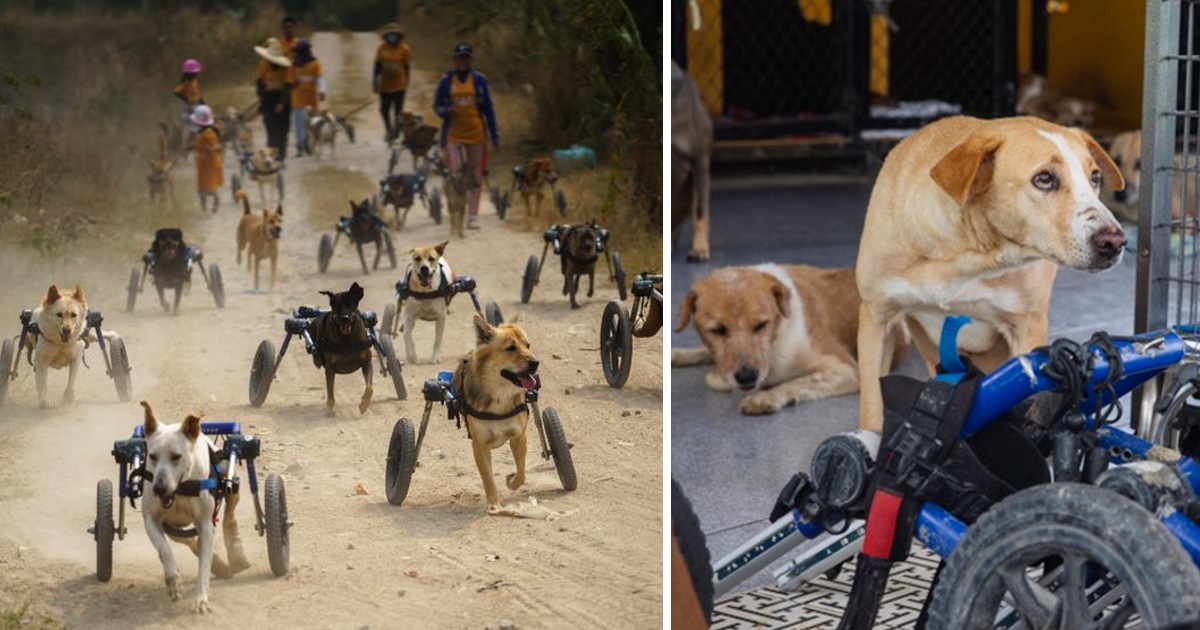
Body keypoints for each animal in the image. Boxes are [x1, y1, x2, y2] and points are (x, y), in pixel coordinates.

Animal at [136, 400, 248, 612]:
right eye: (152, 456)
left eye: (176, 456)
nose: (159, 488)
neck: (180, 490)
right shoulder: (151, 519)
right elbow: (164, 549)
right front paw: (173, 582)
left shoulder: (205, 523)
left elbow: (203, 565)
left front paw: (201, 600)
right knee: (183, 537)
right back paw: (218, 563)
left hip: (228, 474)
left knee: (229, 513)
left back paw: (236, 551)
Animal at [307, 282, 372, 415]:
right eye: (336, 305)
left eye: (350, 303)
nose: (344, 318)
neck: (347, 339)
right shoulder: (330, 367)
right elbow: (330, 391)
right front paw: (329, 407)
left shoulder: (366, 362)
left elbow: (369, 387)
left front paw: (364, 403)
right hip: (316, 357)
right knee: (317, 359)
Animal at [451, 312, 542, 513]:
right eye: (510, 348)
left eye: (528, 345)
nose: (535, 362)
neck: (500, 395)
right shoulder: (480, 445)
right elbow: (488, 478)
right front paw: (493, 503)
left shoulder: (519, 437)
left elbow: (522, 472)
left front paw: (511, 482)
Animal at [676, 264, 902, 415]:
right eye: (718, 330)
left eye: (761, 325)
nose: (747, 377)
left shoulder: (848, 368)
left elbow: (797, 382)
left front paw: (766, 396)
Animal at [854, 115, 1123, 429]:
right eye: (1044, 179)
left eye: (1094, 178)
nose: (1115, 242)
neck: (966, 254)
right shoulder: (876, 317)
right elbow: (873, 403)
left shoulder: (1027, 329)